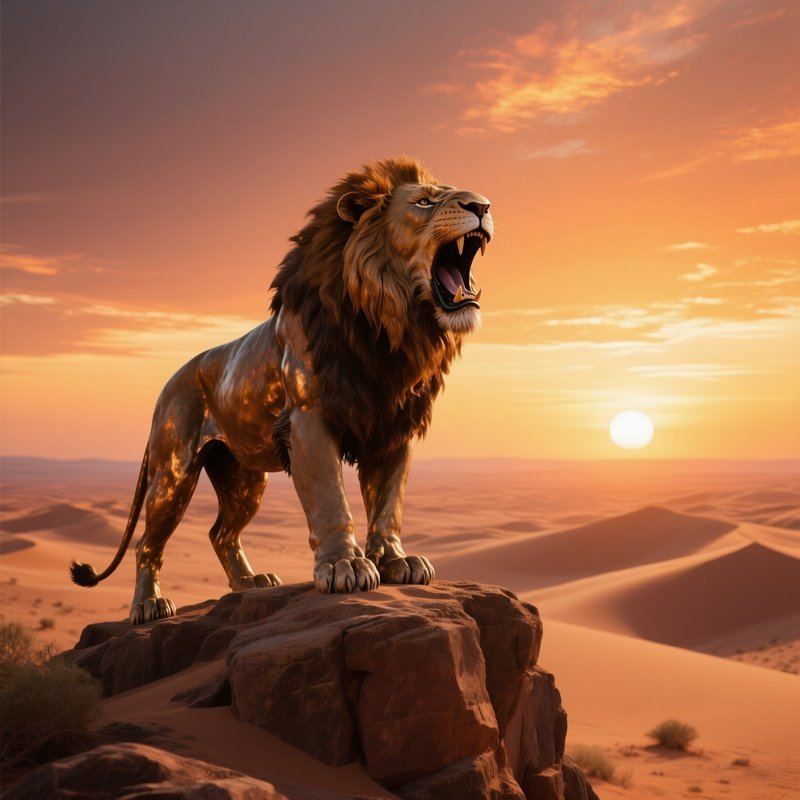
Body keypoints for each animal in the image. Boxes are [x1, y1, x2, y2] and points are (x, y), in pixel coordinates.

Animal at [70, 156, 493, 624]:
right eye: (424, 202)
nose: (483, 205)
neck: (389, 328)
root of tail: (167, 384)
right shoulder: (310, 417)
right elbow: (330, 498)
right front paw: (343, 566)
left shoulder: (393, 422)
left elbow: (388, 504)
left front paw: (396, 561)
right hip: (173, 471)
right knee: (149, 542)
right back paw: (148, 605)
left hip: (243, 478)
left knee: (220, 532)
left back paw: (250, 583)